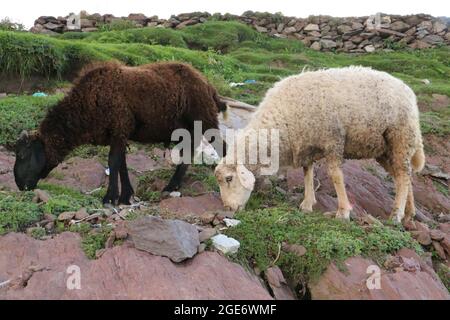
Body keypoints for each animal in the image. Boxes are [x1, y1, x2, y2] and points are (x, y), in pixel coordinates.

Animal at [15, 61, 227, 204]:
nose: (20, 186)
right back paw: (172, 185)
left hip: (205, 119)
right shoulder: (119, 134)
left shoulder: (119, 128)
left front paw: (110, 197)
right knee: (190, 153)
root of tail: (208, 85)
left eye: (23, 154)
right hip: (188, 128)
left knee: (222, 147)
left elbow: (113, 162)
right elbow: (122, 164)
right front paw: (125, 195)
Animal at [214, 66, 426, 224]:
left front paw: (343, 212)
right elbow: (307, 173)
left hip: (400, 136)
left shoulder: (333, 140)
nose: (228, 208)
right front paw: (307, 204)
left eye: (229, 179)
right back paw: (409, 212)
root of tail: (408, 91)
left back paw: (397, 214)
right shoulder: (307, 145)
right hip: (384, 149)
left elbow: (335, 176)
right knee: (403, 175)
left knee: (403, 175)